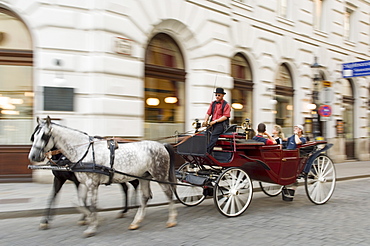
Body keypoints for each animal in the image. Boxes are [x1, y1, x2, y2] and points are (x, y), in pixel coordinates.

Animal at [28, 117, 176, 236]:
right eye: (34, 136)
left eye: (44, 136)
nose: (33, 156)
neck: (83, 151)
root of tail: (162, 145)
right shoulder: (83, 183)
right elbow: (80, 202)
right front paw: (93, 220)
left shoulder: (92, 183)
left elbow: (92, 204)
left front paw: (92, 227)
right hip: (144, 176)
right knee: (145, 196)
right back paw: (136, 221)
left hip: (160, 175)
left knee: (169, 193)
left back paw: (171, 219)